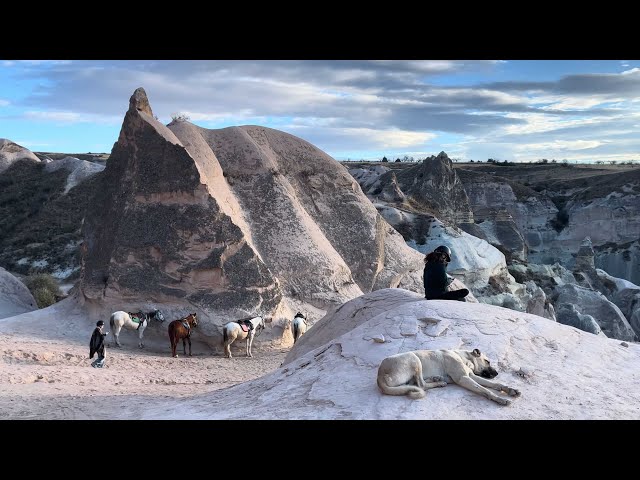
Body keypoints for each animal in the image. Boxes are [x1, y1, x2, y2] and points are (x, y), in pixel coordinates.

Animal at [378, 348, 524, 404]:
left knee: (416, 383)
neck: (464, 358)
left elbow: (495, 384)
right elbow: (486, 390)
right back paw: (439, 382)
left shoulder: (471, 376)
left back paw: (436, 379)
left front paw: (510, 389)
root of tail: (379, 377)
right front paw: (499, 399)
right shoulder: (464, 378)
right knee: (421, 385)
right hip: (414, 358)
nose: (497, 373)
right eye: (487, 361)